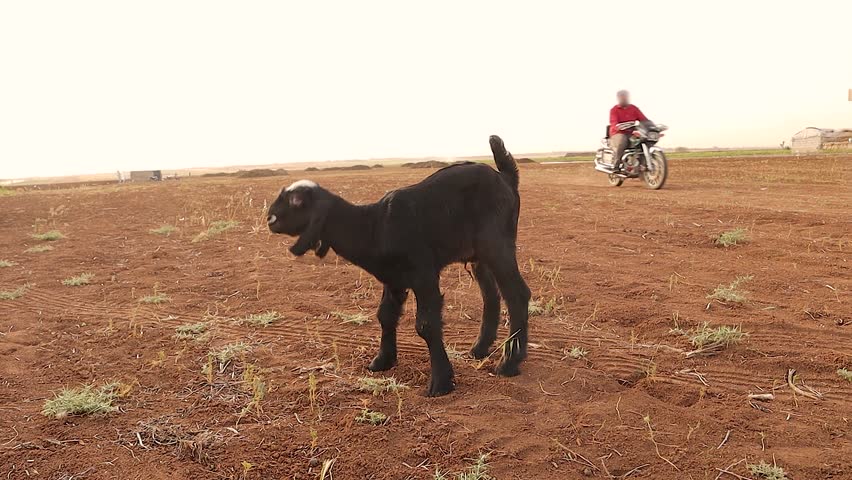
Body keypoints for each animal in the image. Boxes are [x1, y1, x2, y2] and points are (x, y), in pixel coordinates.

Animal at [267, 136, 531, 396]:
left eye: (297, 200)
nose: (270, 218)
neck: (374, 225)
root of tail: (506, 177)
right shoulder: (393, 279)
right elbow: (385, 315)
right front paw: (382, 361)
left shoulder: (424, 274)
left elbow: (426, 325)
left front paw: (441, 383)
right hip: (479, 256)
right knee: (491, 295)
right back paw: (480, 349)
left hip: (496, 244)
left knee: (517, 294)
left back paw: (509, 363)